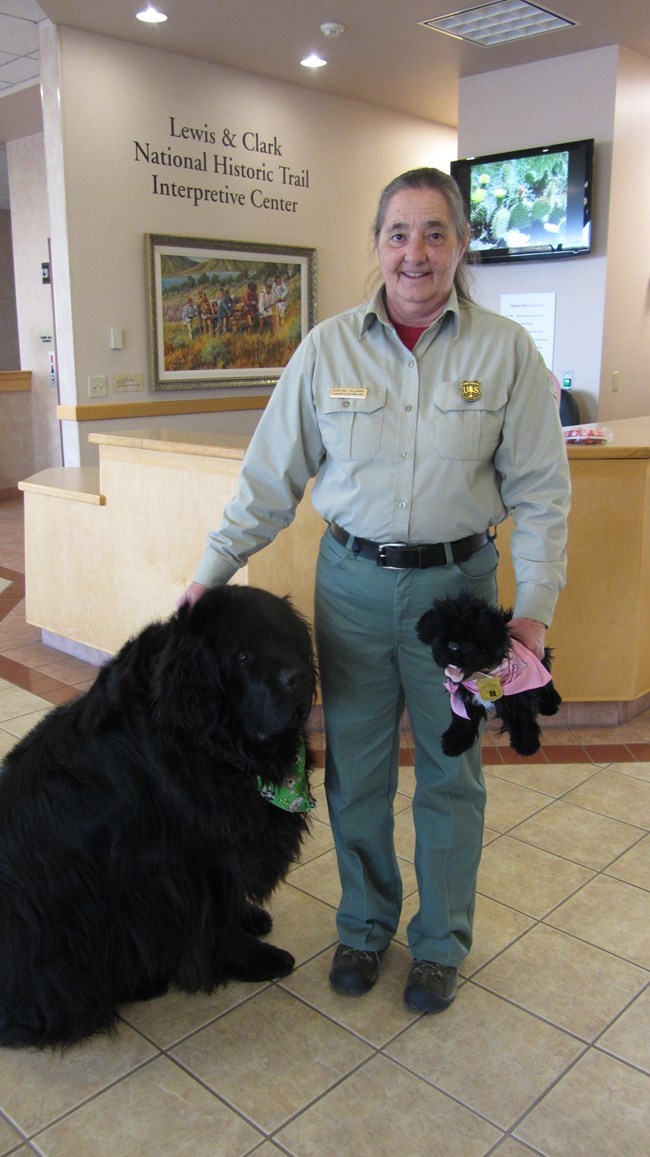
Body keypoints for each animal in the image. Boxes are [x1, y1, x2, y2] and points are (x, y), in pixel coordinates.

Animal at [0, 587, 314, 1050]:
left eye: (287, 639)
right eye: (241, 655)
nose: (299, 678)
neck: (215, 742)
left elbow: (229, 898)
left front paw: (249, 917)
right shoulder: (184, 860)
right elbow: (215, 916)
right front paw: (252, 956)